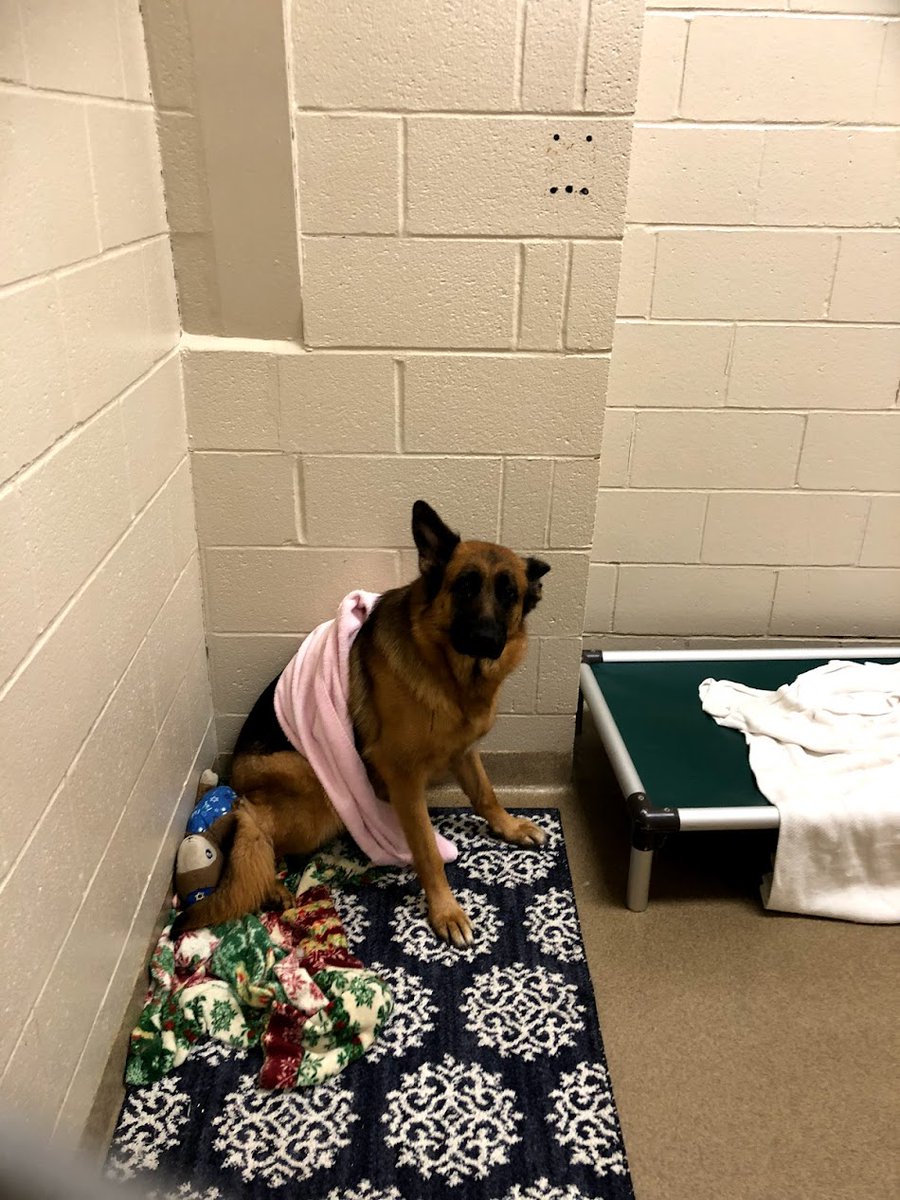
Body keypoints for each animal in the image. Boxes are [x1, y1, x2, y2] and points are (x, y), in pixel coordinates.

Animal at [171, 499, 547, 945]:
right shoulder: (403, 776)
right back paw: (270, 883)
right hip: (317, 794)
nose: (487, 640)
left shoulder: (463, 751)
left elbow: (485, 794)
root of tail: (235, 773)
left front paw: (509, 826)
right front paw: (445, 910)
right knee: (250, 822)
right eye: (465, 586)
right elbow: (426, 848)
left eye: (509, 593)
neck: (448, 673)